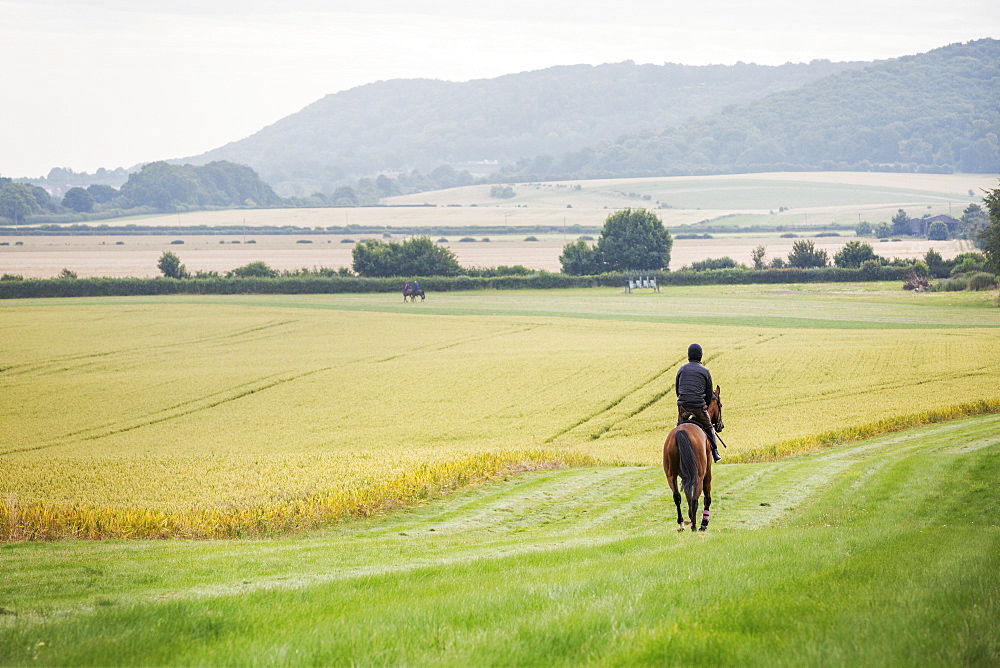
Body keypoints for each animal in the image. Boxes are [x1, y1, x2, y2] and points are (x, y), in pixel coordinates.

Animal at [664, 386, 728, 532]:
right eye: (720, 405)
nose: (721, 426)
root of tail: (680, 432)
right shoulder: (707, 472)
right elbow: (707, 497)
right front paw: (704, 523)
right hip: (699, 475)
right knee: (695, 498)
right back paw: (695, 526)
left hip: (671, 475)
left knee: (677, 496)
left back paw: (682, 524)